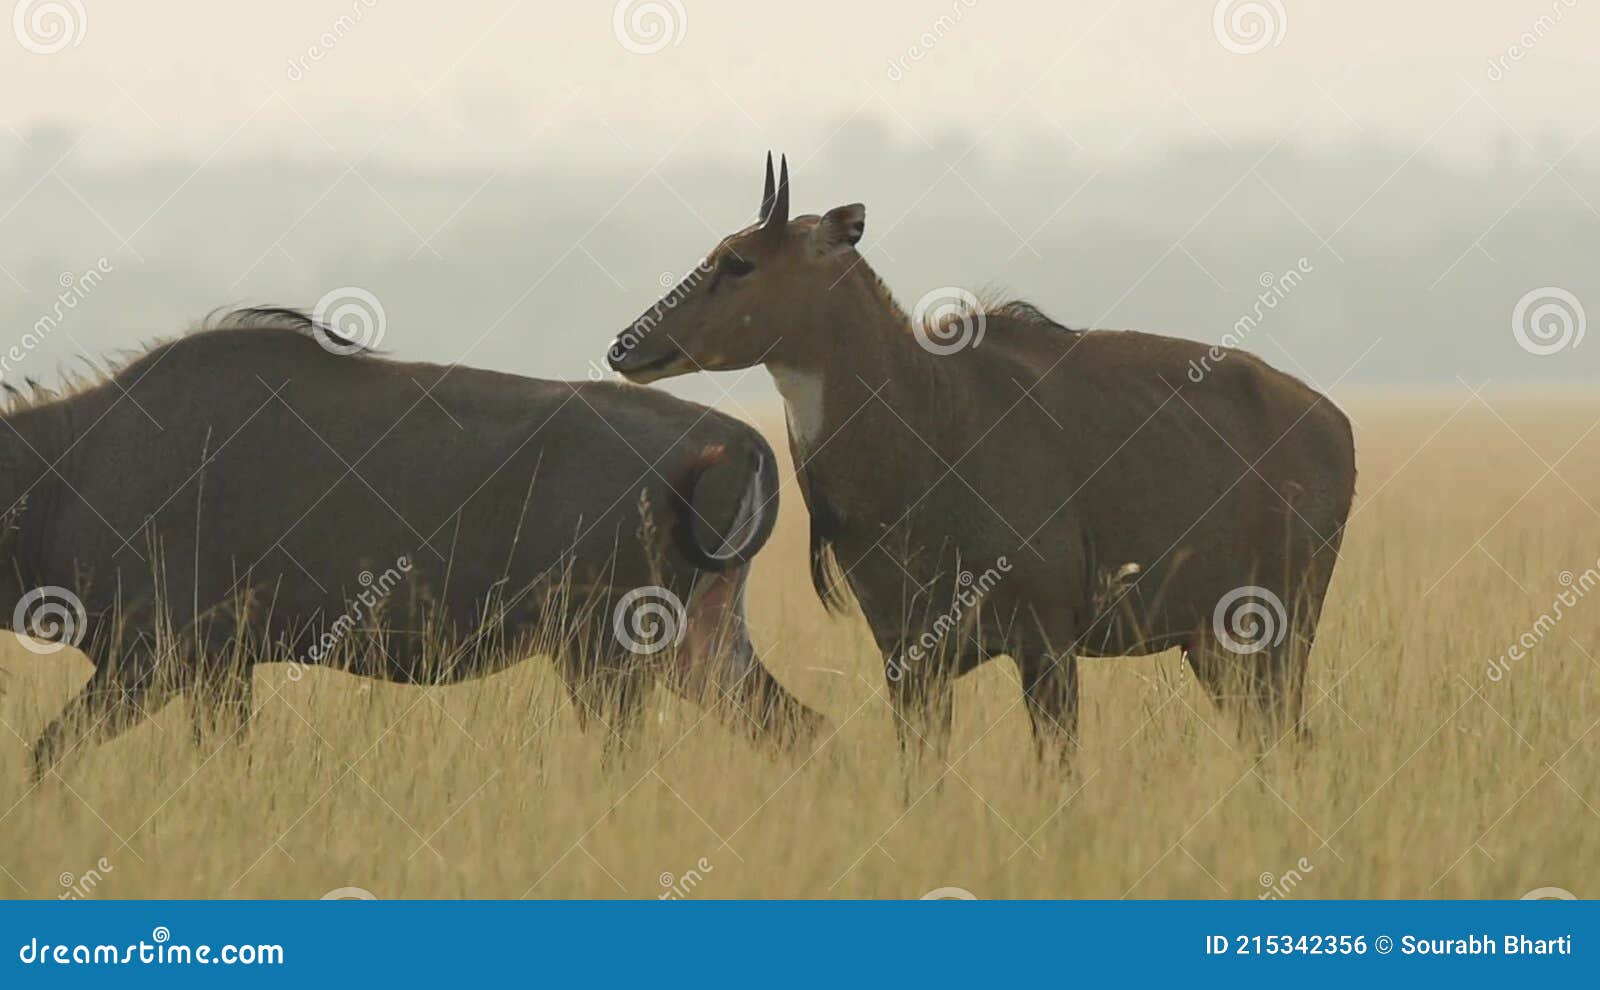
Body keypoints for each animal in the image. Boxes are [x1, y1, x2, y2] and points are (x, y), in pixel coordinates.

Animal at [3, 310, 825, 783]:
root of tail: (740, 441)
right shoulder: (219, 671)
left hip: (608, 656)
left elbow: (44, 758)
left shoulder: (153, 660)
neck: (65, 470)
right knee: (806, 732)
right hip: (700, 645)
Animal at [604, 152, 1356, 758]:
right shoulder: (906, 655)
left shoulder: (1047, 642)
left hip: (1278, 629)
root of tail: (1335, 423)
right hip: (1216, 643)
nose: (624, 345)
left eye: (739, 261)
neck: (927, 421)